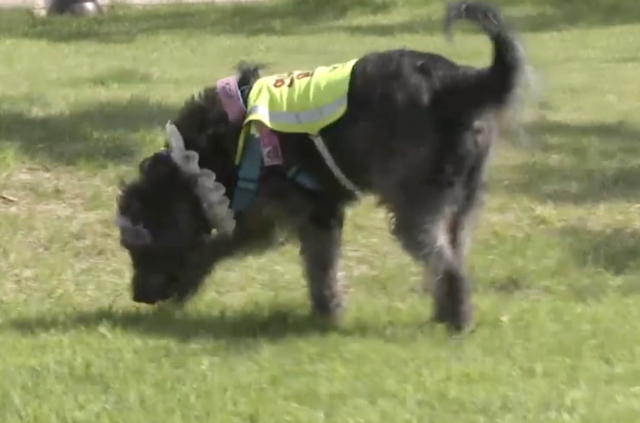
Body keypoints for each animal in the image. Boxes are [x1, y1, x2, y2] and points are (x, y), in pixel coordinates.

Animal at [115, 0, 524, 334]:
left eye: (138, 244)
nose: (137, 296)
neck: (208, 153)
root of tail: (462, 83)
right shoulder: (305, 214)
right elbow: (309, 264)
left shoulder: (285, 214)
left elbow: (235, 250)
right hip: (462, 201)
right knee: (452, 258)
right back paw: (446, 313)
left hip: (415, 204)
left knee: (447, 266)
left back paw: (457, 322)